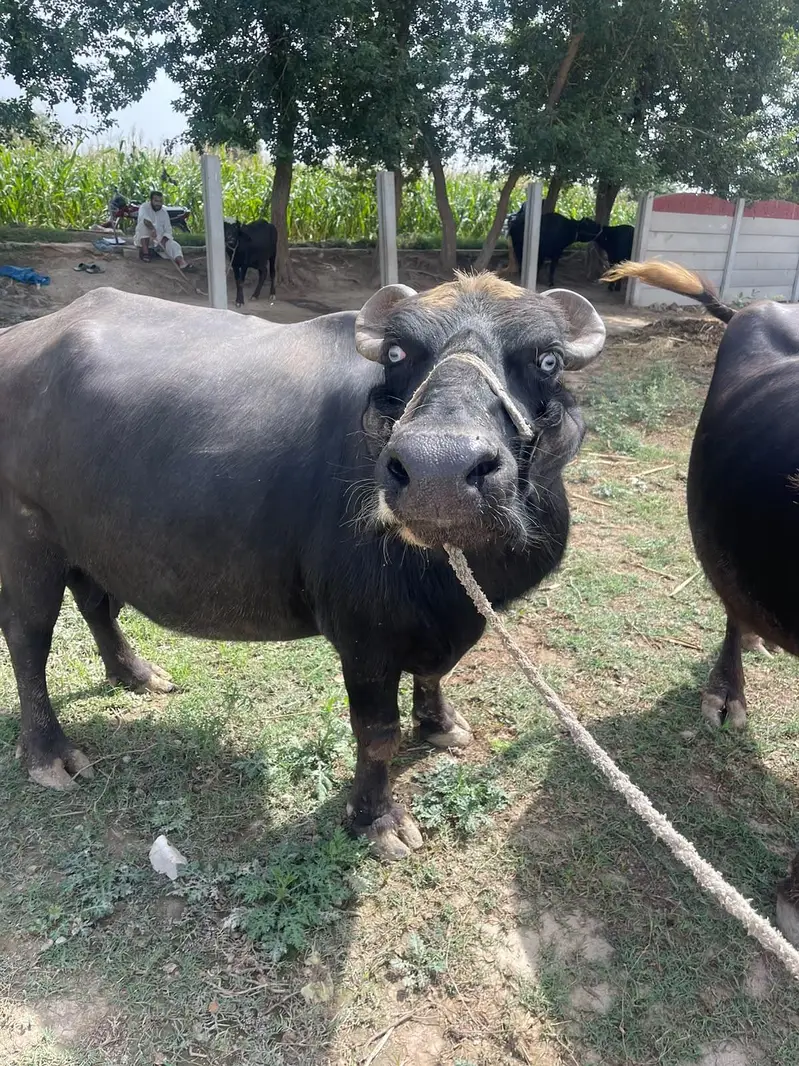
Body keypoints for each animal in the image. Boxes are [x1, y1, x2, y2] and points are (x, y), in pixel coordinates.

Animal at [0, 274, 605, 860]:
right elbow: (376, 732)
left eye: (547, 360)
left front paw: (440, 725)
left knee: (97, 604)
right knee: (29, 641)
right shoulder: (364, 634)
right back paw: (49, 754)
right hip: (27, 543)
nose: (440, 471)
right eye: (397, 352)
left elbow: (435, 672)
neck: (446, 570)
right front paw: (376, 819)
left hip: (88, 543)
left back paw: (136, 673)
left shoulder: (446, 618)